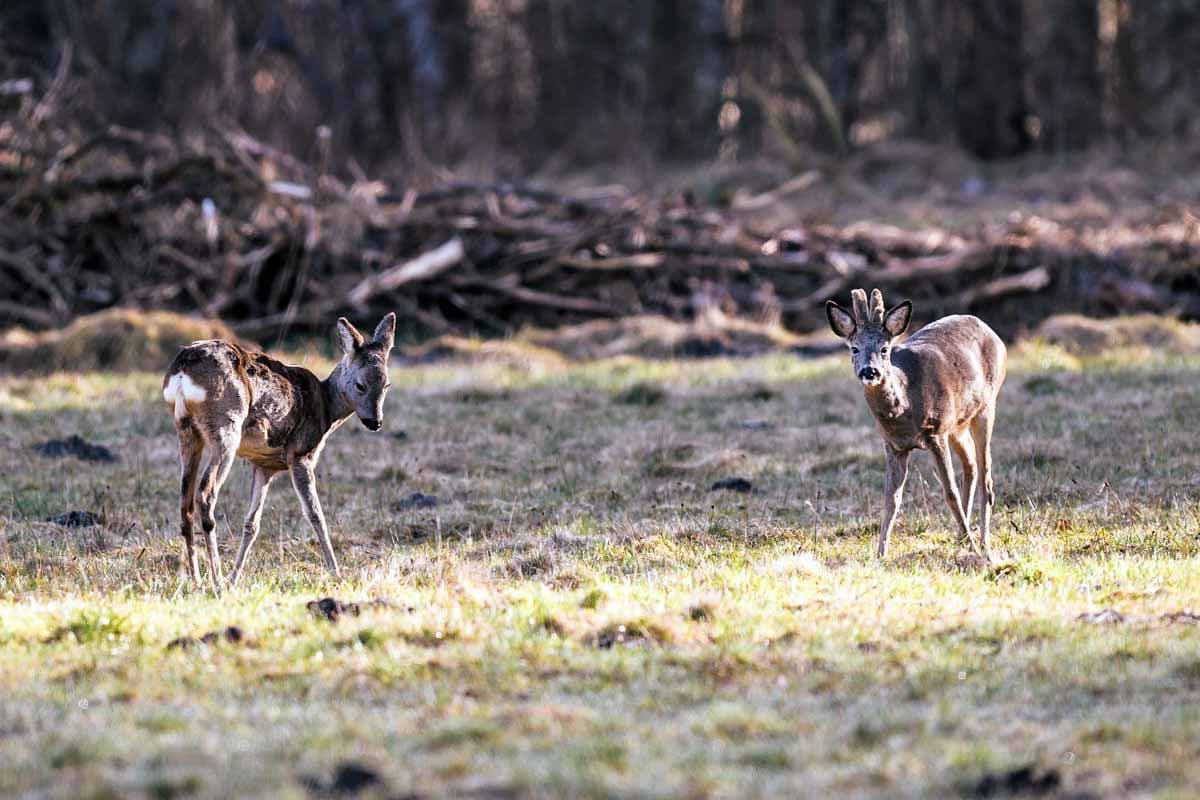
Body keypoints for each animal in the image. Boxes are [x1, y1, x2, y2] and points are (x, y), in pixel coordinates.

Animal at [158, 316, 393, 592]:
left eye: (387, 385)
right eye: (360, 385)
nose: (375, 422)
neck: (326, 410)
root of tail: (182, 370)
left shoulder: (264, 466)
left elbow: (252, 524)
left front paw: (235, 577)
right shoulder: (300, 453)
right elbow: (316, 515)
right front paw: (337, 574)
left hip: (186, 430)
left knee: (185, 501)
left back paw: (197, 580)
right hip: (226, 426)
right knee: (205, 493)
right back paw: (217, 581)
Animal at [825, 291, 1003, 561]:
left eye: (884, 349)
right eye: (854, 348)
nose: (870, 371)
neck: (905, 408)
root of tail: (992, 332)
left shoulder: (935, 432)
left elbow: (949, 492)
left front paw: (974, 548)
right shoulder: (893, 445)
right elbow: (891, 499)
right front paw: (880, 555)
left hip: (985, 406)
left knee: (986, 476)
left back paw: (983, 545)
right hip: (957, 424)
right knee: (971, 464)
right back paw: (960, 539)